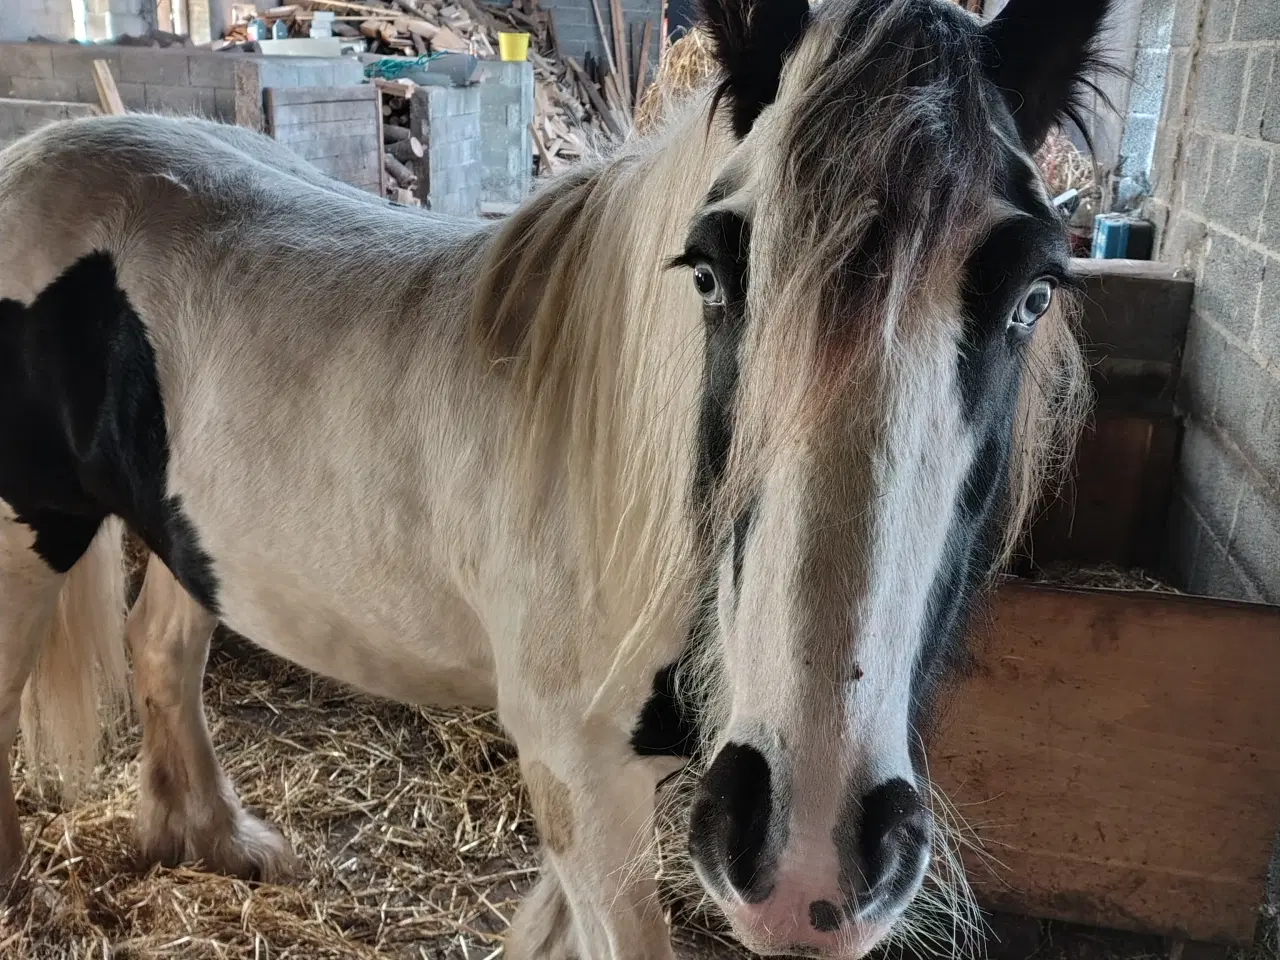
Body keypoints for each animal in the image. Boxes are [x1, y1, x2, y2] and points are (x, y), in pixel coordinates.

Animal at [0, 0, 1100, 957]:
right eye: (711, 270)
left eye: (1034, 292)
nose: (810, 862)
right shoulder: (580, 773)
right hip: (29, 538)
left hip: (194, 540)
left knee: (159, 649)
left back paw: (216, 839)